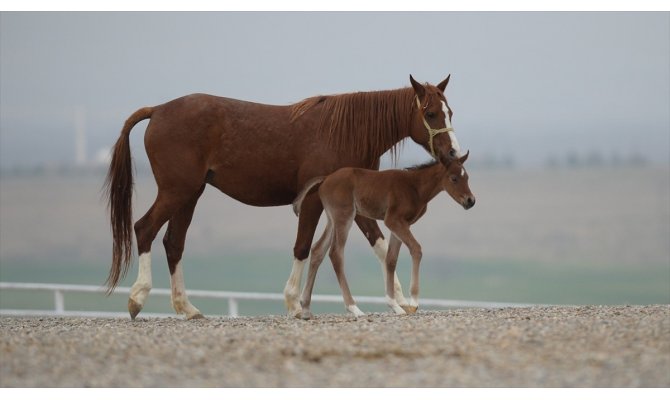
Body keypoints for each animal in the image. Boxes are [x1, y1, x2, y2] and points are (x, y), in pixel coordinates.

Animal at [296, 151, 478, 318]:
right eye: (454, 178)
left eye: (467, 177)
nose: (470, 201)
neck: (414, 187)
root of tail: (326, 179)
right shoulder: (393, 220)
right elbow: (416, 249)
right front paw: (413, 302)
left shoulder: (400, 224)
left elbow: (391, 259)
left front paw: (394, 305)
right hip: (344, 217)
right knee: (336, 254)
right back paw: (354, 308)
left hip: (331, 219)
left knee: (318, 250)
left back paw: (305, 308)